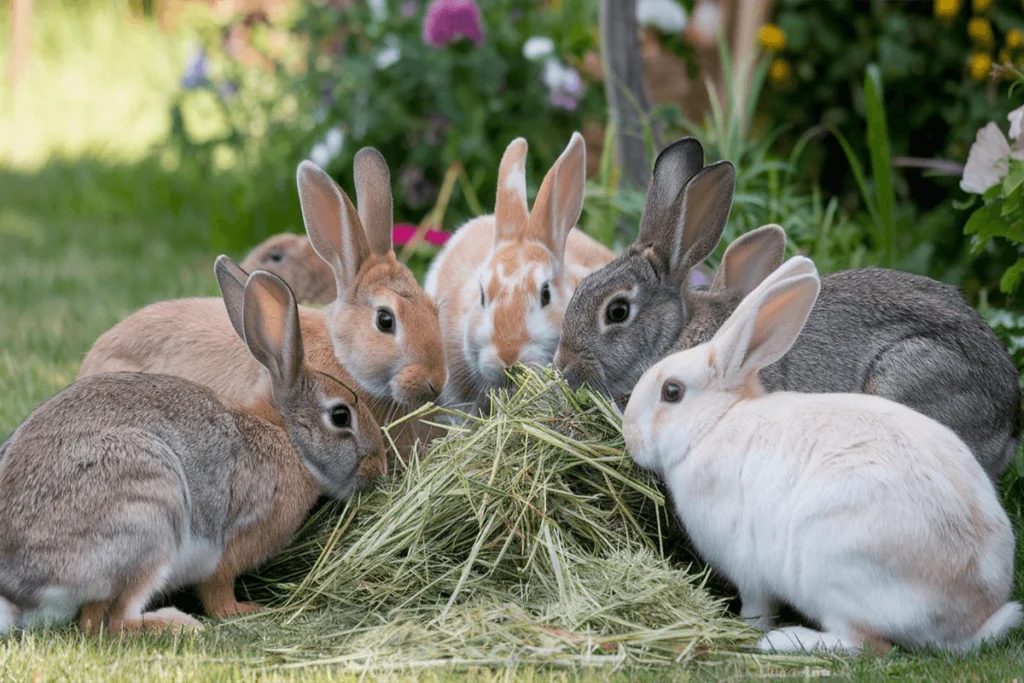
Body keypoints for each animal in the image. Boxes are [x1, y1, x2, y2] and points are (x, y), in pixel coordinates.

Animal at [0, 258, 385, 634]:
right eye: (340, 416)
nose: (378, 466)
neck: (287, 437)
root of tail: (18, 588)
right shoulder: (228, 549)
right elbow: (218, 594)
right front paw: (245, 610)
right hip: (151, 513)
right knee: (107, 622)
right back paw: (179, 625)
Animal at [618, 258, 1019, 655]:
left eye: (672, 392)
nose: (629, 435)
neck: (714, 423)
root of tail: (969, 617)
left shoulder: (747, 567)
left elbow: (757, 605)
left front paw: (747, 628)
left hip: (831, 571)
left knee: (865, 643)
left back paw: (784, 640)